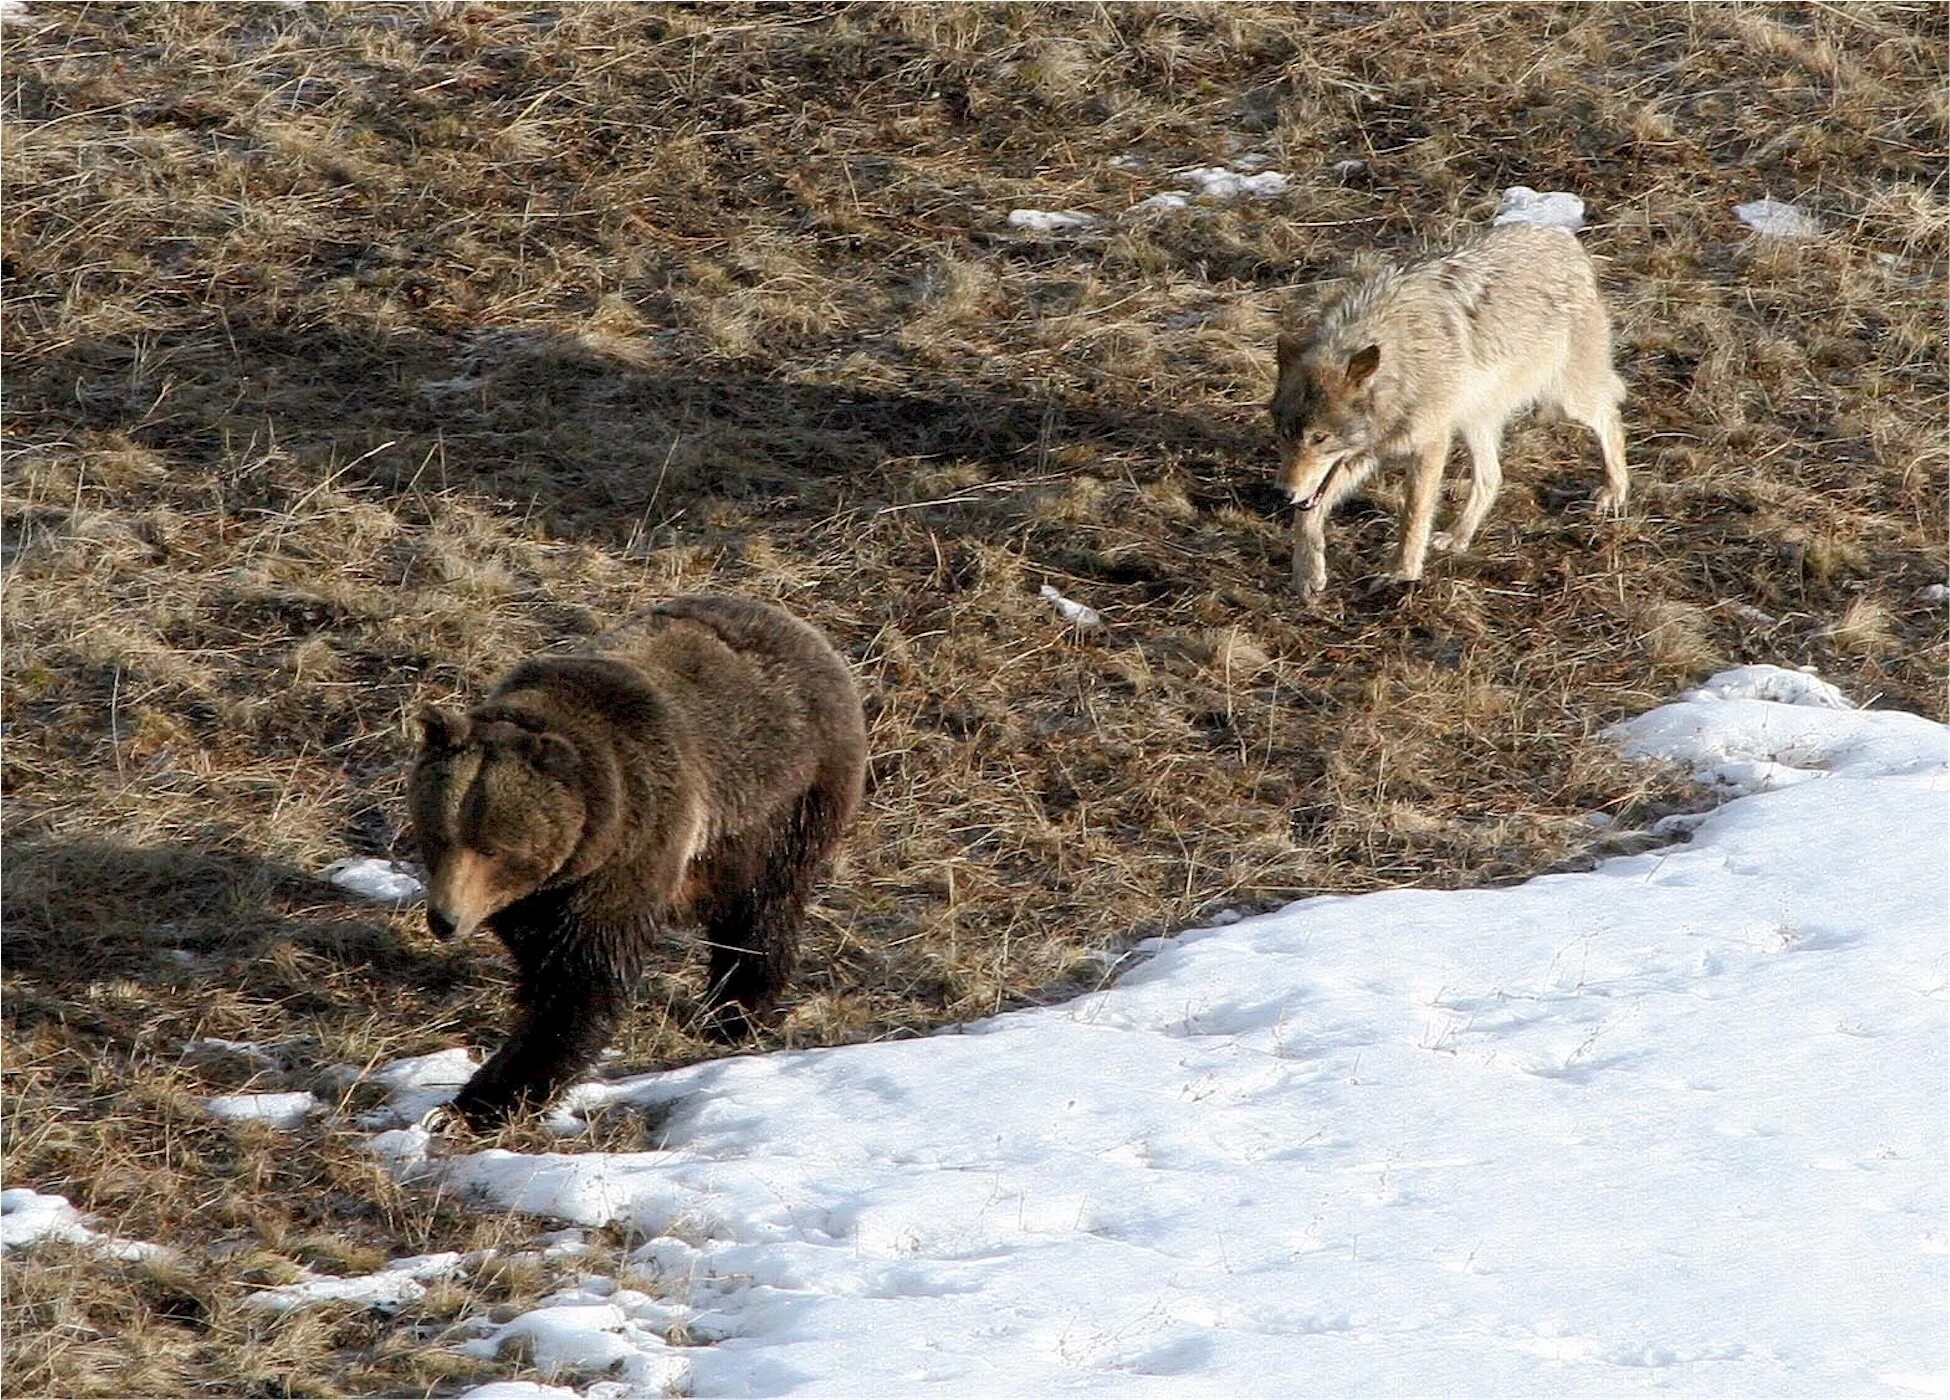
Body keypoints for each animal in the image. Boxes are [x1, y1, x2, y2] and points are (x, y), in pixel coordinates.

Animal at [407, 592, 865, 1130]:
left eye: (493, 847)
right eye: (438, 835)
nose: (444, 919)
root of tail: (803, 629)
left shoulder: (634, 846)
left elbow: (583, 979)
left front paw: (486, 1098)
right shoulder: (542, 894)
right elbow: (542, 956)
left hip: (785, 803)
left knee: (762, 910)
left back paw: (734, 1011)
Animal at [1263, 227, 1630, 600]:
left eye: (1319, 438)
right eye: (1284, 434)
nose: (1282, 493)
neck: (1401, 367)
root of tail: (1564, 238)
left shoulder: (1430, 445)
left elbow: (1413, 515)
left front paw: (1402, 573)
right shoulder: (1360, 456)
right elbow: (1308, 517)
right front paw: (1307, 573)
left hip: (1567, 397)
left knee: (1611, 418)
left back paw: (1614, 490)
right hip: (1474, 422)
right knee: (1492, 477)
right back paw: (1458, 537)